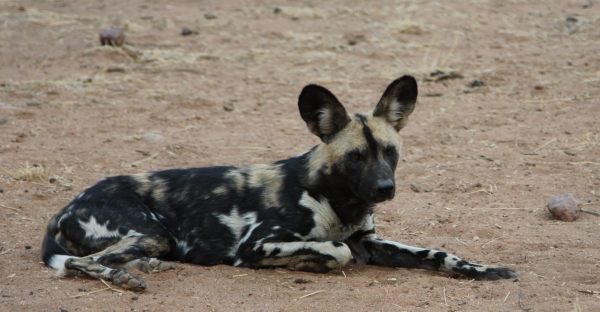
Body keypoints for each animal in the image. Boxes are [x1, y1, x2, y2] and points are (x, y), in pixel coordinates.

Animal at [42, 75, 516, 290]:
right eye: (355, 157)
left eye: (390, 152)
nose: (385, 189)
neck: (339, 202)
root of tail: (65, 206)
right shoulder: (257, 244)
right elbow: (337, 251)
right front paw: (309, 263)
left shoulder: (371, 241)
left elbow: (440, 254)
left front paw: (485, 270)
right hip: (153, 232)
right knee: (86, 263)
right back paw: (125, 277)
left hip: (153, 239)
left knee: (106, 257)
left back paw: (144, 267)